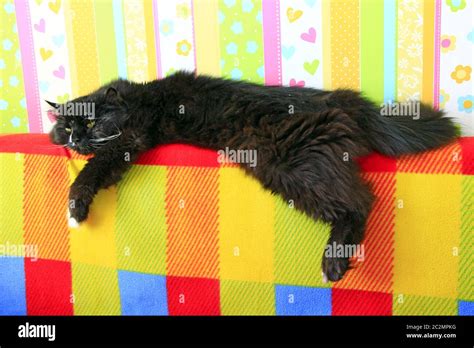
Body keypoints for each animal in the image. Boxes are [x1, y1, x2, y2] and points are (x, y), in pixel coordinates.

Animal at [49, 71, 460, 282]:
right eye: (66, 127)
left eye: (90, 123)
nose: (75, 138)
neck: (133, 98)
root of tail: (341, 99)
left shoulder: (130, 138)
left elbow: (91, 170)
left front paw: (75, 210)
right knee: (358, 193)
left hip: (294, 165)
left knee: (360, 200)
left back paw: (334, 264)